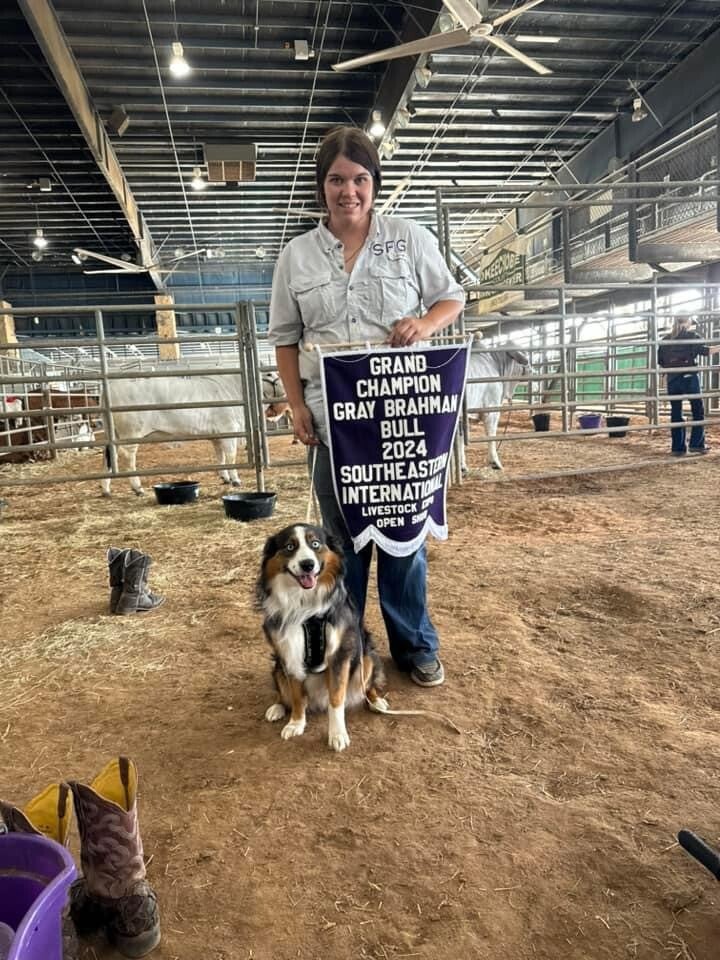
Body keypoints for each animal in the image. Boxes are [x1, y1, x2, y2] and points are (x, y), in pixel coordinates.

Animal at [257, 523, 387, 752]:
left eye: (315, 544)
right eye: (290, 546)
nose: (307, 565)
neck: (305, 607)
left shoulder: (339, 655)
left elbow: (336, 699)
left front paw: (337, 734)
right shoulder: (289, 654)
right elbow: (297, 696)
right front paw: (296, 724)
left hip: (366, 657)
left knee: (368, 686)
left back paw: (377, 702)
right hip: (277, 668)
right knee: (284, 693)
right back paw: (277, 708)